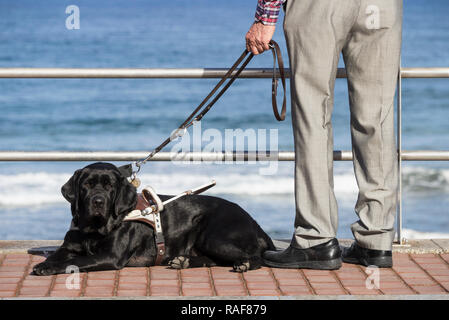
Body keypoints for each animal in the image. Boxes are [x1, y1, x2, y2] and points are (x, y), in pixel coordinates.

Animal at [32, 162, 272, 276]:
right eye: (87, 185)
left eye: (110, 187)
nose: (98, 201)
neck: (93, 228)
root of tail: (254, 223)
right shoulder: (68, 246)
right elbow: (58, 256)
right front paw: (44, 264)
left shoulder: (110, 256)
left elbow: (75, 261)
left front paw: (50, 268)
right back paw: (182, 261)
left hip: (213, 236)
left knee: (255, 257)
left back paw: (244, 264)